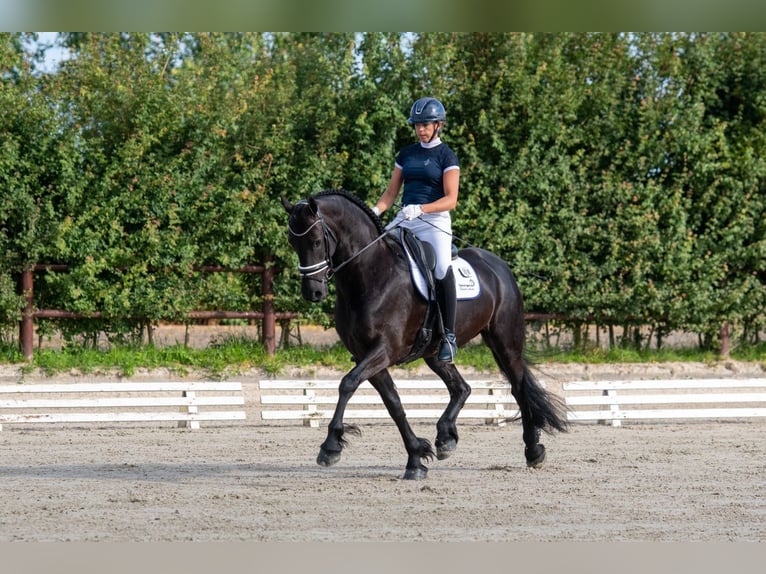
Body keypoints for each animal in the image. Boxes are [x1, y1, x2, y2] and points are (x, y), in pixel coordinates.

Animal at [282, 189, 567, 480]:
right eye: (293, 242)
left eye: (316, 241)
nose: (313, 292)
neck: (371, 275)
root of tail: (498, 266)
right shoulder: (365, 354)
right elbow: (393, 403)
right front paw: (416, 458)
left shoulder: (384, 350)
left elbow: (347, 384)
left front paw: (330, 446)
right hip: (435, 352)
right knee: (461, 388)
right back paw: (445, 438)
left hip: (505, 343)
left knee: (518, 388)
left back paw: (533, 451)